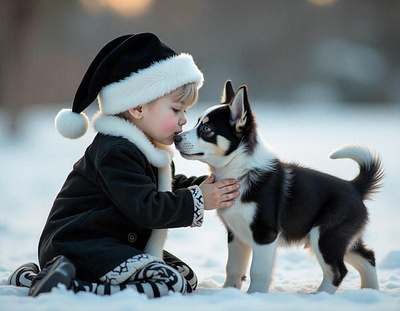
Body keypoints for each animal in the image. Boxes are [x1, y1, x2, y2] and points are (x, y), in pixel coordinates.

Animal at [174, 81, 384, 294]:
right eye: (197, 123)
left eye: (206, 128)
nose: (176, 138)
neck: (239, 169)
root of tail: (354, 186)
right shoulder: (236, 232)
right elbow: (233, 267)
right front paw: (228, 291)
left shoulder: (264, 233)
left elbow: (258, 270)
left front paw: (255, 294)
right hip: (341, 238)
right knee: (368, 257)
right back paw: (370, 292)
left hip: (325, 235)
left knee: (339, 270)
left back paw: (319, 295)